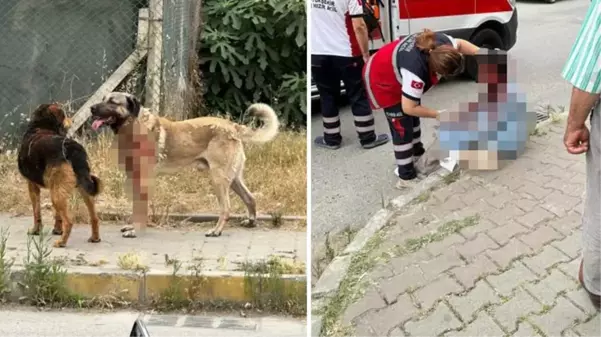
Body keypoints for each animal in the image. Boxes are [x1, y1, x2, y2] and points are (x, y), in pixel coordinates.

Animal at [17, 103, 102, 247]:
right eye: (64, 114)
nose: (72, 120)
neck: (40, 127)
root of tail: (72, 148)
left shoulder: (32, 186)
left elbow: (36, 212)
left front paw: (36, 230)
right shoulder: (53, 186)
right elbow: (57, 215)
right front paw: (57, 229)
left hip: (56, 195)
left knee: (69, 221)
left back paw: (61, 242)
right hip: (82, 188)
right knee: (94, 217)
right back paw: (95, 238)